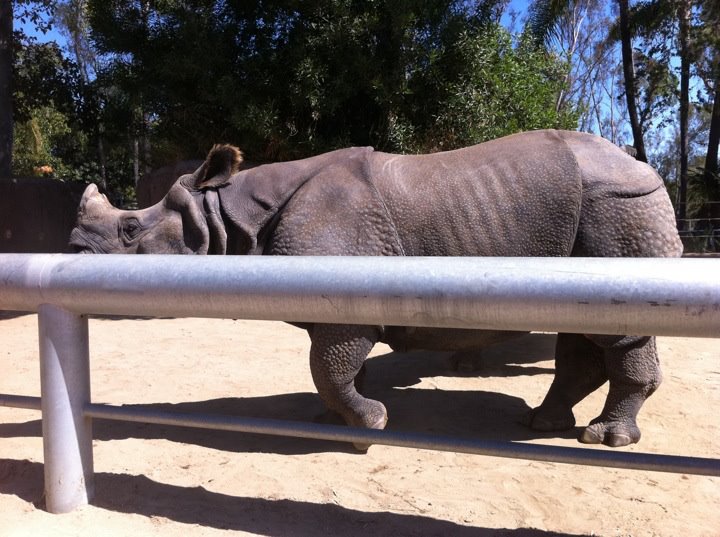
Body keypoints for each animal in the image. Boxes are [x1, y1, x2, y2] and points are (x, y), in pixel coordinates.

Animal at [70, 129, 683, 448]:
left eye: (130, 231)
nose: (72, 252)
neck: (228, 213)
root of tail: (641, 164)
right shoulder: (338, 301)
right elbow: (338, 368)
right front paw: (333, 422)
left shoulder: (345, 305)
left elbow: (330, 366)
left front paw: (370, 425)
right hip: (597, 210)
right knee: (581, 329)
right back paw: (541, 423)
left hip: (619, 205)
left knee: (615, 329)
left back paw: (605, 439)